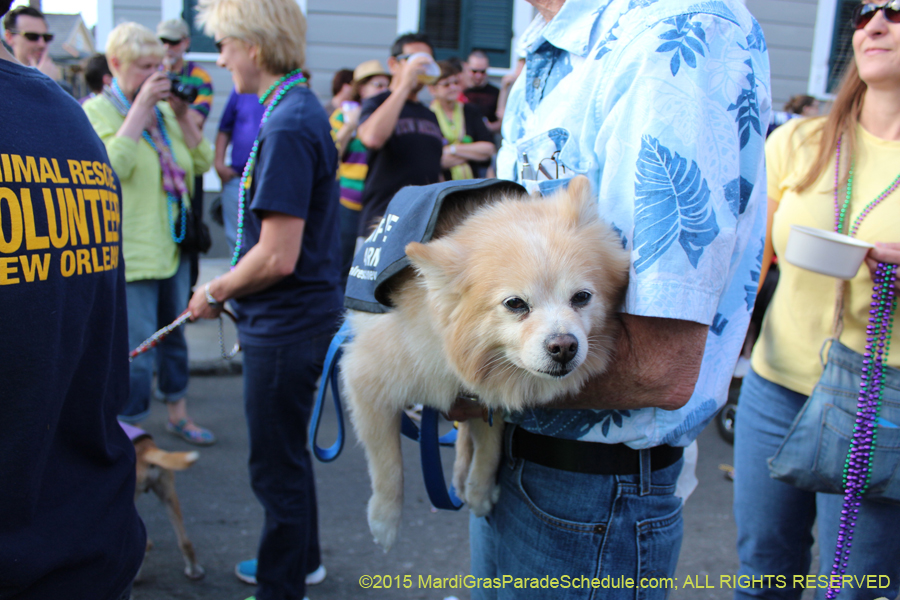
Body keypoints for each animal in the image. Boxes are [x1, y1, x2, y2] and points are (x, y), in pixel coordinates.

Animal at [342, 173, 628, 548]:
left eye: (581, 298)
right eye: (515, 304)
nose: (564, 346)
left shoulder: (489, 396)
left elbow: (490, 447)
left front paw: (479, 490)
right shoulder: (365, 381)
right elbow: (387, 461)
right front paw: (384, 520)